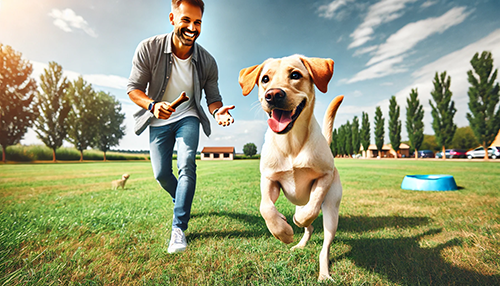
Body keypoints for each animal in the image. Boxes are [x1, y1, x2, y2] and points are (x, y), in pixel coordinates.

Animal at [239, 54, 344, 280]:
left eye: (295, 75)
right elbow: (266, 208)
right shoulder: (269, 179)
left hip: (332, 210)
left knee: (324, 244)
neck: (291, 143)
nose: (273, 95)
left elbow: (312, 207)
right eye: (265, 79)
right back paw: (300, 243)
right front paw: (284, 232)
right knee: (309, 229)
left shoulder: (324, 176)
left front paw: (295, 222)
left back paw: (324, 273)